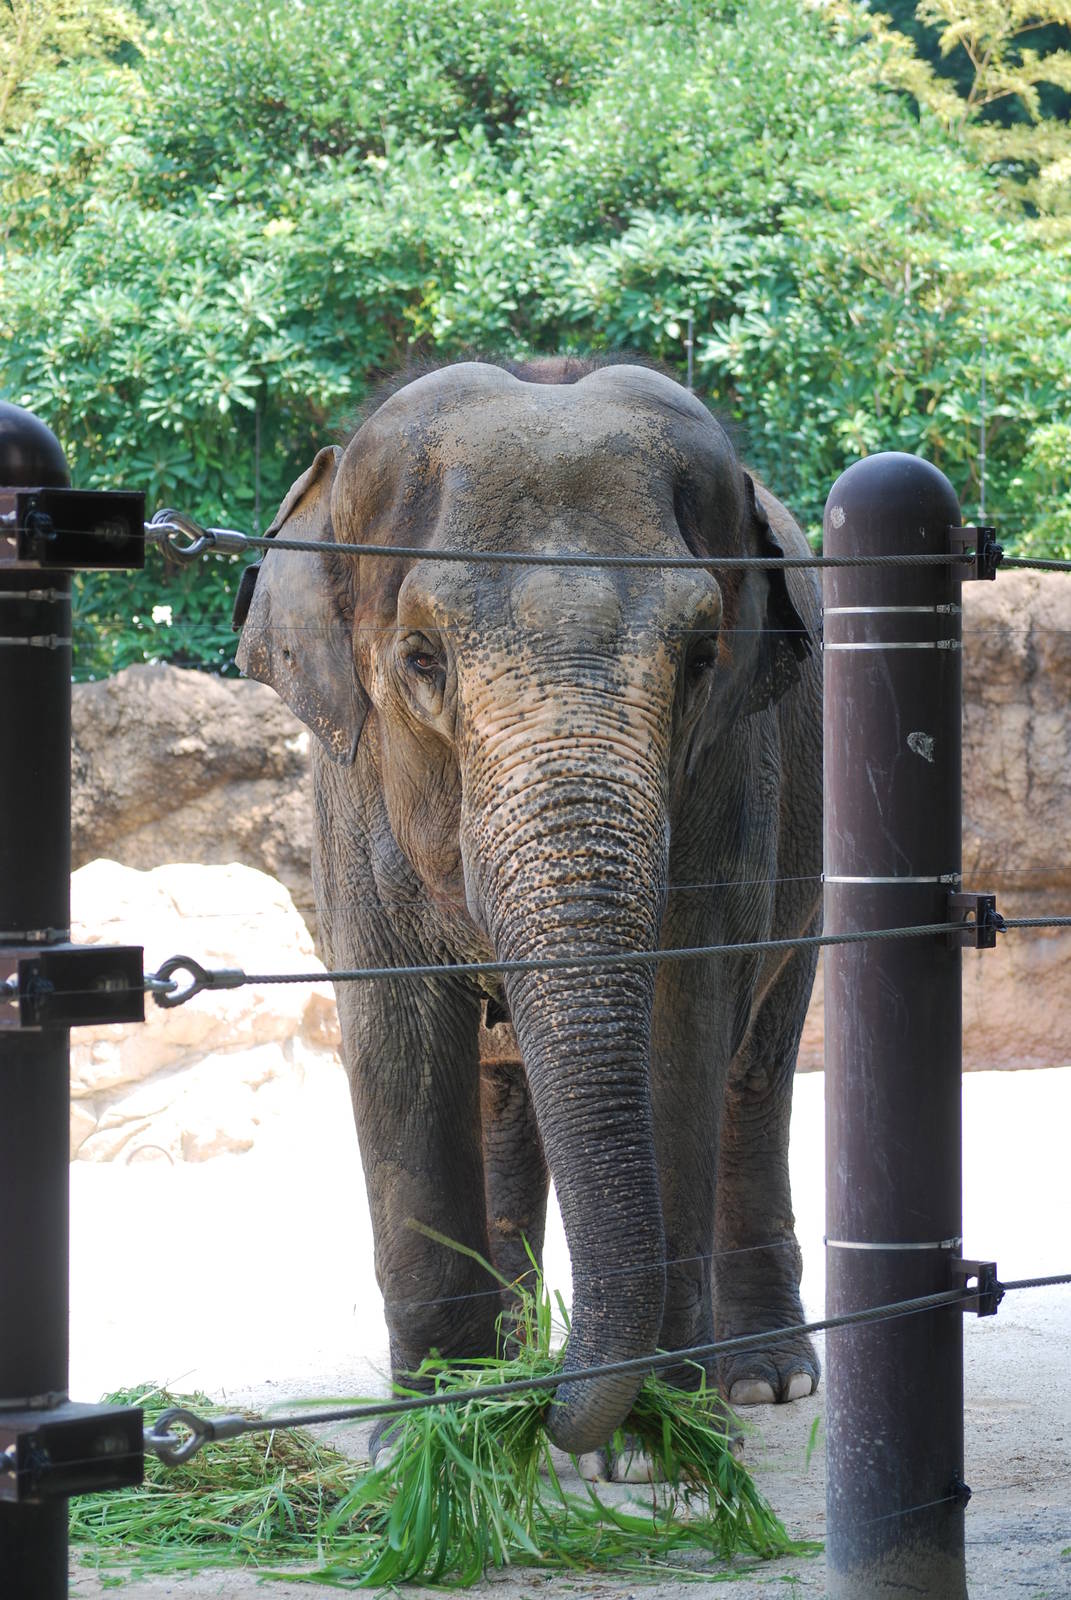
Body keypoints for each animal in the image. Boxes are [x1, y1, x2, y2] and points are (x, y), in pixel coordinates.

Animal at [234, 357, 823, 1467]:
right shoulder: (346, 790)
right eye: (422, 656)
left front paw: (646, 1442)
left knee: (755, 1069)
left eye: (700, 657)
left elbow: (682, 1027)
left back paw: (765, 1379)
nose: (554, 1414)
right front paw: (429, 1441)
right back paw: (506, 1368)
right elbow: (397, 1042)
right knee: (501, 1093)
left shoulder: (735, 779)